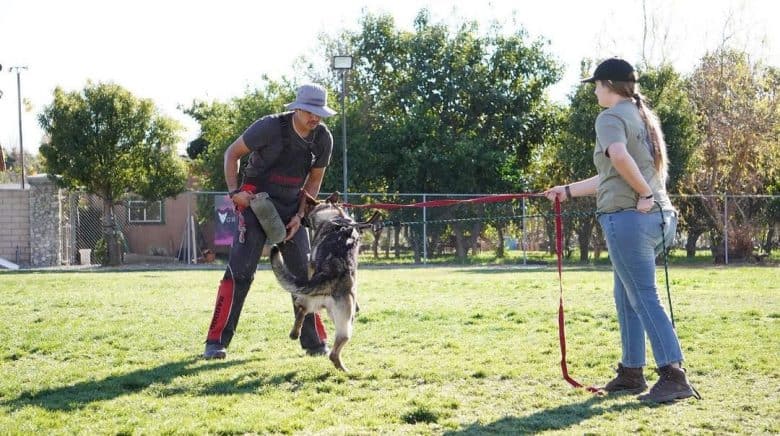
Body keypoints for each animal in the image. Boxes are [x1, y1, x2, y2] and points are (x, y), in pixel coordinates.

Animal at [270, 192, 380, 370]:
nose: (299, 220)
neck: (334, 215)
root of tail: (330, 275)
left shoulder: (311, 264)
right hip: (346, 324)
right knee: (334, 351)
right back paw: (342, 369)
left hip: (320, 307)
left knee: (302, 311)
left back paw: (295, 334)